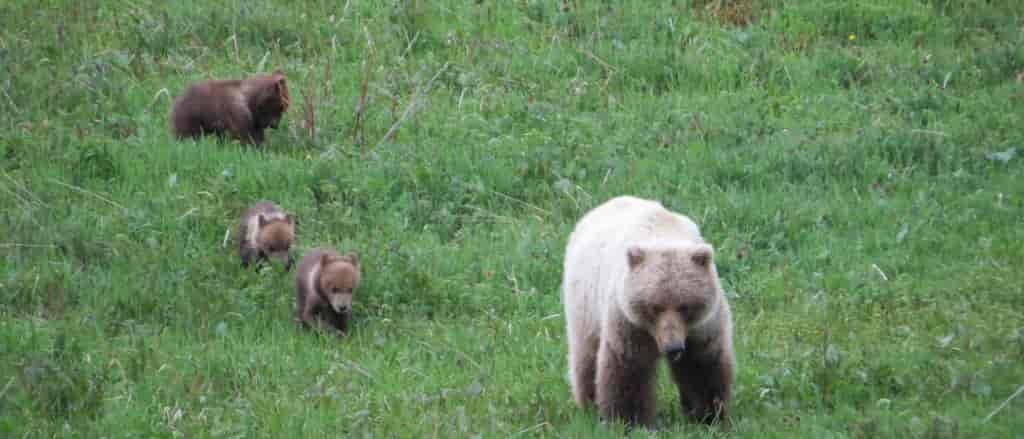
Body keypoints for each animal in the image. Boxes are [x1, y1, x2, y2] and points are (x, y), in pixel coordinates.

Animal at [561, 196, 735, 428]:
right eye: (654, 307)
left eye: (685, 306)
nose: (673, 347)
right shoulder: (628, 321)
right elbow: (629, 368)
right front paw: (628, 420)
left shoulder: (703, 325)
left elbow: (702, 365)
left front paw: (708, 415)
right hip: (585, 304)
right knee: (586, 355)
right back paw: (589, 405)